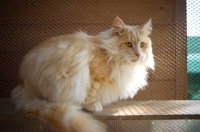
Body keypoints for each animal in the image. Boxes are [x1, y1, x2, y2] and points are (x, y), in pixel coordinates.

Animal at [10, 17, 155, 132]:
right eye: (128, 44)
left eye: (142, 44)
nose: (138, 54)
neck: (109, 54)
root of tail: (22, 84)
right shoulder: (91, 73)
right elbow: (91, 92)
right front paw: (92, 105)